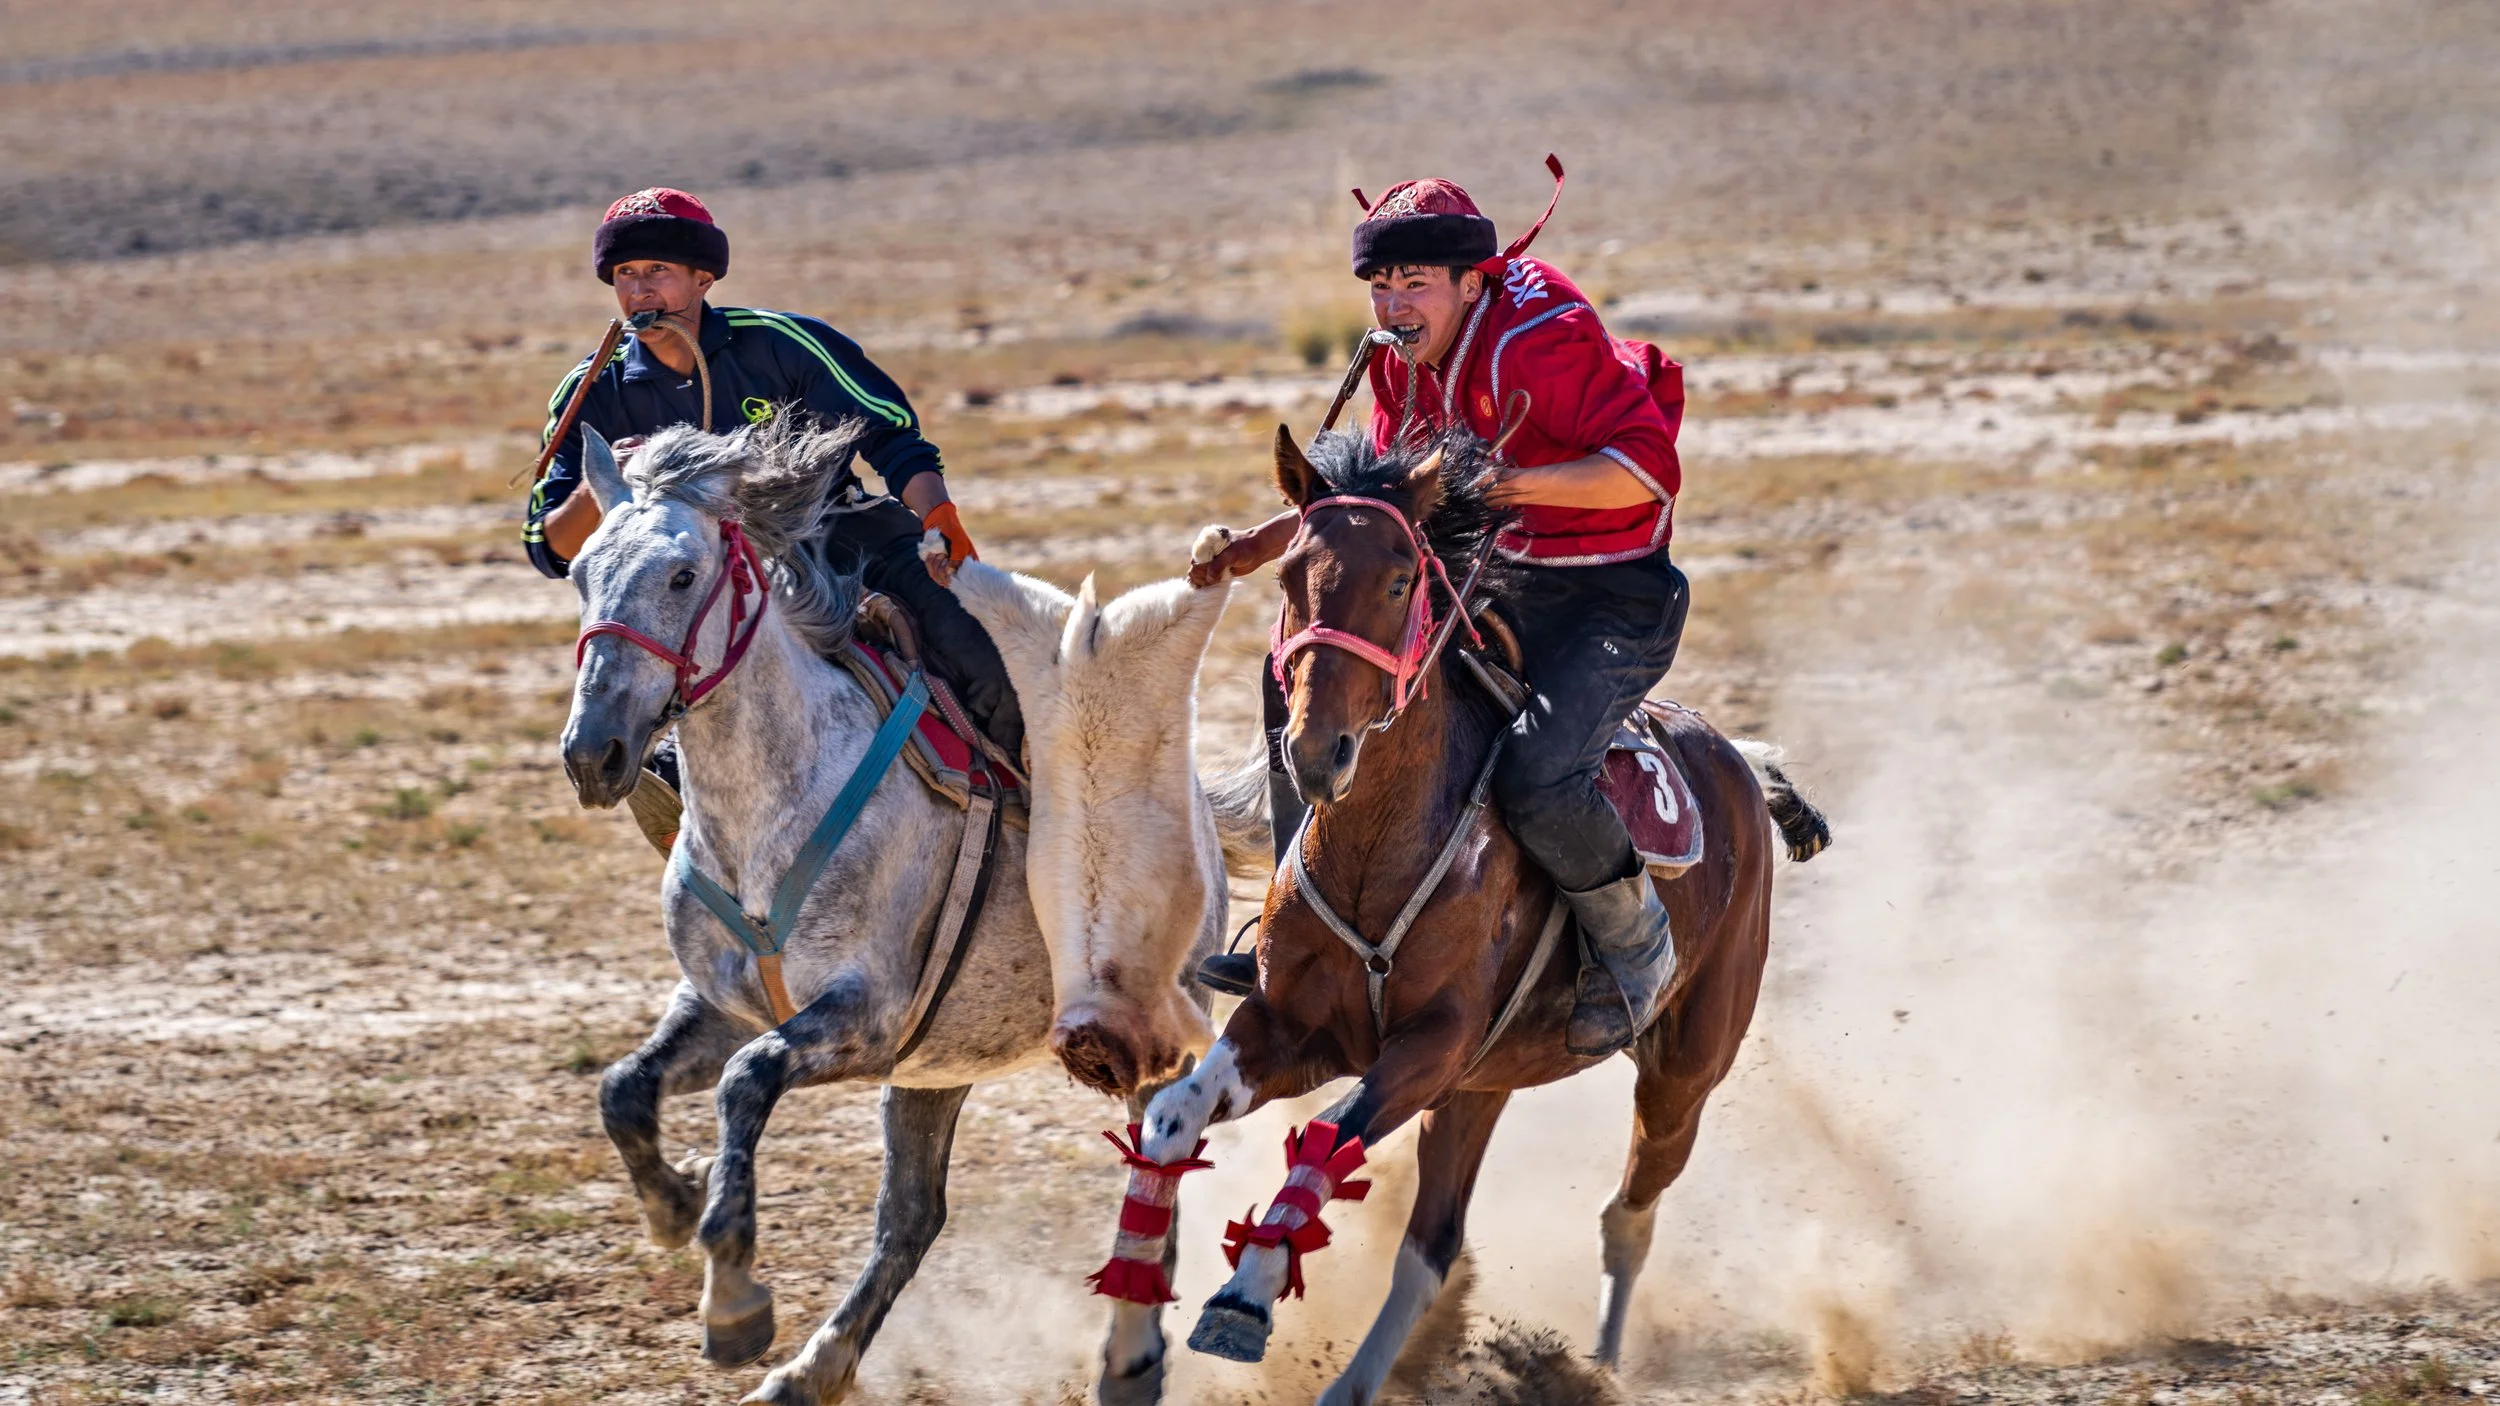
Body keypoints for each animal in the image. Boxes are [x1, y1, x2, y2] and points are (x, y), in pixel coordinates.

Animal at [556, 418, 1232, 1406]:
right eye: (580, 574)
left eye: (682, 576)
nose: (592, 752)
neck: (767, 813)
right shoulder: (728, 1010)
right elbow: (622, 1090)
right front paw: (678, 1204)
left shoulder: (861, 1021)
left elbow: (745, 1083)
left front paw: (731, 1290)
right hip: (938, 1068)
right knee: (912, 1218)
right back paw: (811, 1371)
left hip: (1140, 1032)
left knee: (1163, 1151)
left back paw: (1132, 1358)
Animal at [1087, 426, 1830, 1404]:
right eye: (1289, 573)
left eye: (1402, 579)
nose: (1316, 751)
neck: (1378, 847)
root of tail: (1738, 761)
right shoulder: (1293, 1028)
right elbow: (1175, 1114)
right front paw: (1132, 1352)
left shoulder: (1428, 1047)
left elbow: (1325, 1136)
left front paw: (1243, 1298)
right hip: (1481, 1087)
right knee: (1432, 1248)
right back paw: (1354, 1386)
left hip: (1681, 1075)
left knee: (1627, 1214)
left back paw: (1597, 1364)